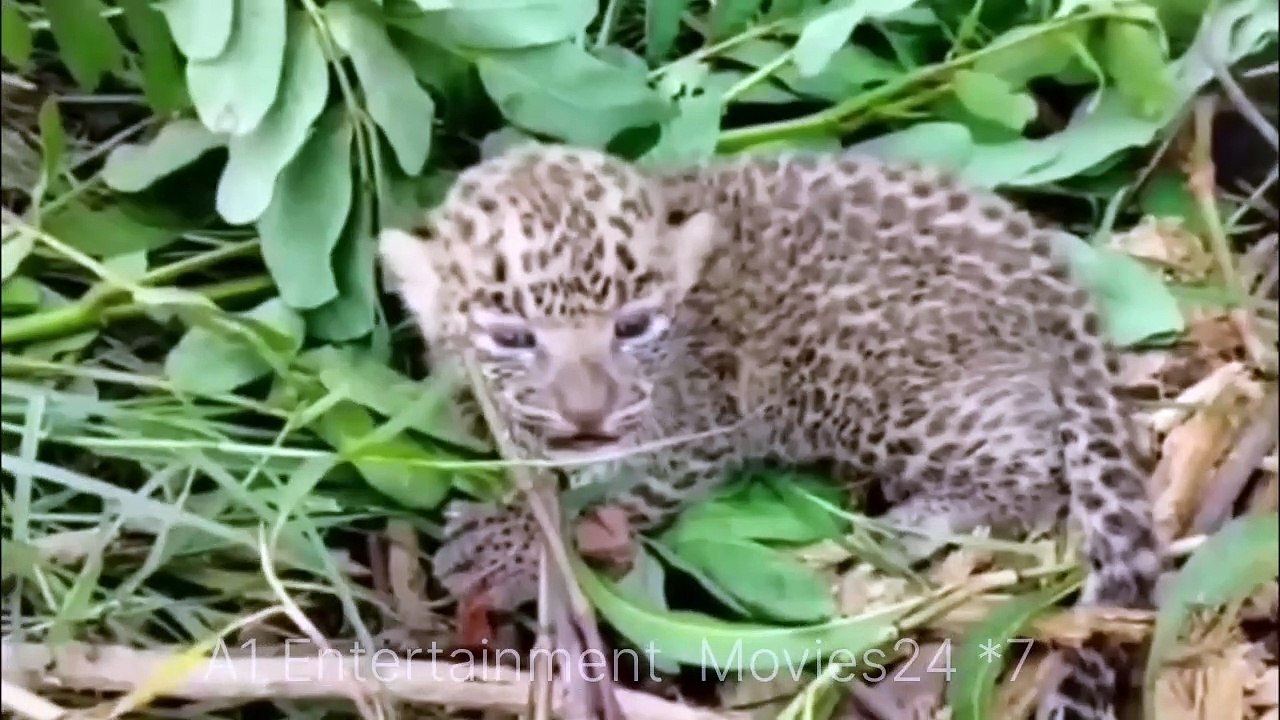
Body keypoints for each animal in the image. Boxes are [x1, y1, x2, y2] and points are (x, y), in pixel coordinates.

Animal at [377, 142, 1164, 720]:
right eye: (511, 337)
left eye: (633, 326)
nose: (587, 414)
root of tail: (1057, 285)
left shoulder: (691, 438)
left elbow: (606, 499)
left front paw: (499, 546)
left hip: (868, 378)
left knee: (1033, 468)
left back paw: (912, 522)